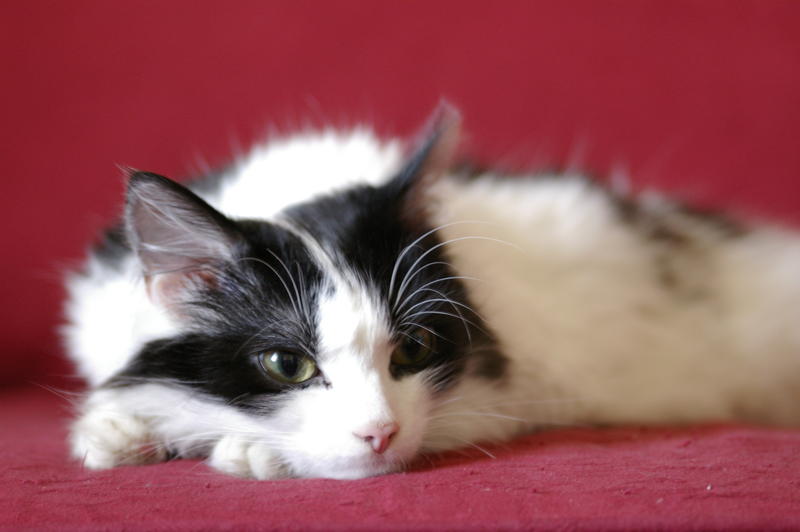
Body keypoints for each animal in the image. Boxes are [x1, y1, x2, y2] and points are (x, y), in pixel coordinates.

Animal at [64, 106, 800, 480]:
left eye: (413, 350)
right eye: (286, 364)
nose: (379, 434)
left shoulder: (513, 388)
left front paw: (246, 449)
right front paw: (118, 429)